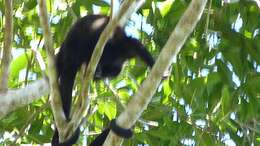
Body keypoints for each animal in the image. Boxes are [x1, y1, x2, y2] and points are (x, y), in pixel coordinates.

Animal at [52, 14, 154, 146]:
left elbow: (136, 45)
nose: (99, 74)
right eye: (103, 65)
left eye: (106, 73)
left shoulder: (126, 50)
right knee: (68, 72)